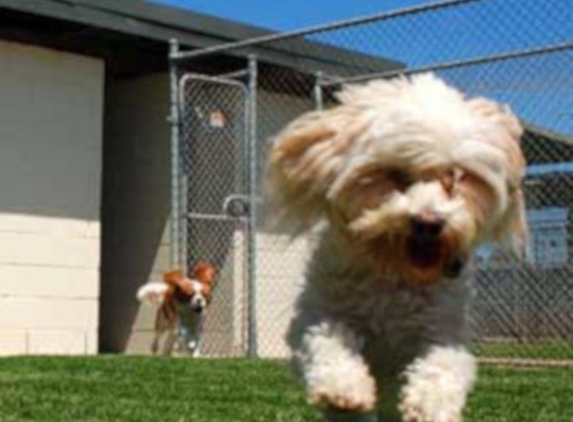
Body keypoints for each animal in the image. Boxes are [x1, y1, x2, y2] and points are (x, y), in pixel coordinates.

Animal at [266, 74, 524, 422]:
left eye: (456, 178)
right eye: (396, 174)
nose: (429, 222)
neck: (394, 271)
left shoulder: (441, 331)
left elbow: (441, 366)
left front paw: (431, 403)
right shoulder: (320, 316)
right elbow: (329, 343)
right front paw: (343, 388)